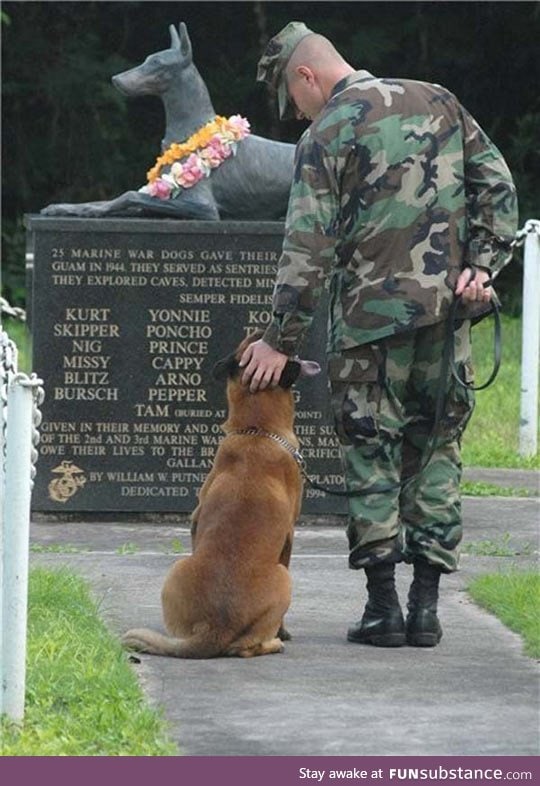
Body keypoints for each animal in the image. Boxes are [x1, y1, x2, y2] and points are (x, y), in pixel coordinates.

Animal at [122, 330, 320, 656]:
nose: (263, 331)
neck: (256, 430)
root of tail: (215, 627)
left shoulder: (195, 518)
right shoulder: (290, 536)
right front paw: (285, 632)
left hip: (177, 567)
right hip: (284, 578)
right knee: (247, 648)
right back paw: (275, 642)